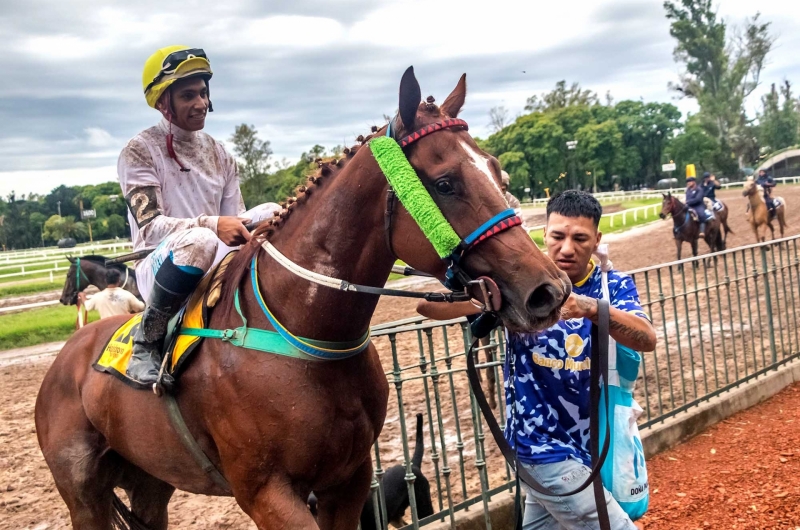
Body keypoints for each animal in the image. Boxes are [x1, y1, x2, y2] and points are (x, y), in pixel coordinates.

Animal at [34, 68, 564, 524]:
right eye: (446, 183)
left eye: (498, 172)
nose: (548, 290)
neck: (302, 338)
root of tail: (65, 358)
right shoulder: (266, 493)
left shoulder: (348, 481)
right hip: (84, 494)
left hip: (149, 482)